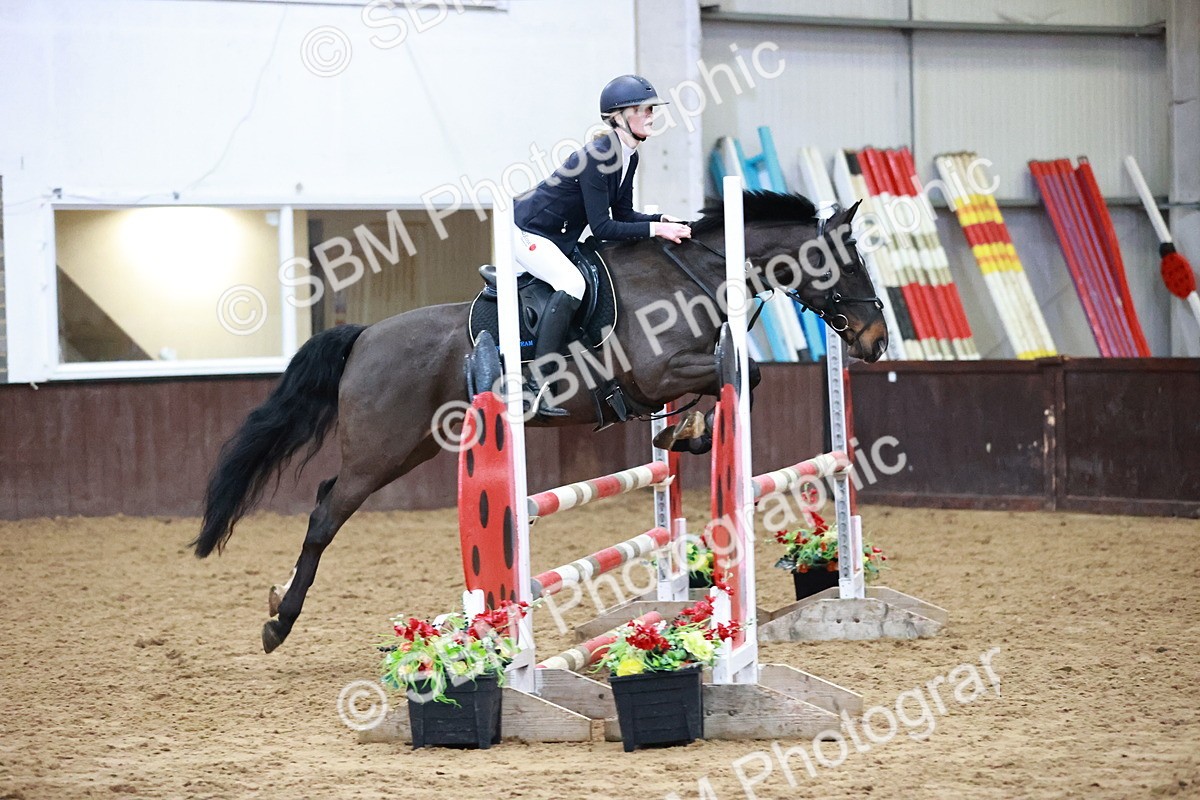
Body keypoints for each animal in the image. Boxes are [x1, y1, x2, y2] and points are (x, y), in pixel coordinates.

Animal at [191, 191, 888, 653]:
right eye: (847, 261)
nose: (877, 341)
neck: (698, 271)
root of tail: (363, 336)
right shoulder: (659, 371)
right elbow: (746, 374)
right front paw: (684, 432)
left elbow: (737, 380)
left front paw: (679, 434)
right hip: (379, 453)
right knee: (324, 513)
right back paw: (278, 623)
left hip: (411, 448)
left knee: (326, 499)